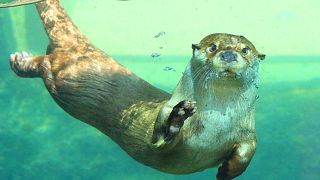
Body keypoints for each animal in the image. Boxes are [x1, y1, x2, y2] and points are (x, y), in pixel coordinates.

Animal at [1, 0, 266, 179]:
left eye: (245, 50)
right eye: (213, 47)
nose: (229, 54)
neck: (217, 123)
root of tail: (81, 47)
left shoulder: (247, 132)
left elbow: (249, 150)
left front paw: (226, 171)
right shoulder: (164, 118)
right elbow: (160, 140)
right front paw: (178, 117)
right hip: (63, 78)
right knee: (45, 64)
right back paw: (20, 60)